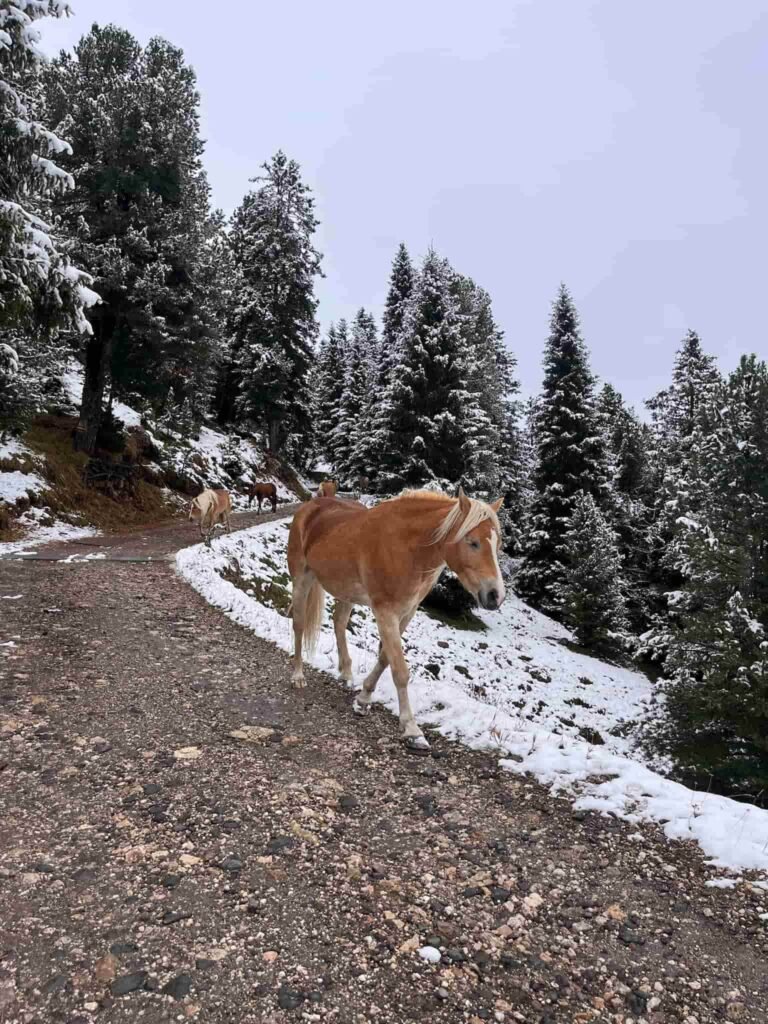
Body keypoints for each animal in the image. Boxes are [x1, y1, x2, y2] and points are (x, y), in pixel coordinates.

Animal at [286, 487, 505, 753]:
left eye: (497, 544)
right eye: (472, 542)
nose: (495, 596)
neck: (405, 546)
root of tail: (311, 506)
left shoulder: (406, 613)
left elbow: (384, 658)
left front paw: (363, 698)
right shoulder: (385, 613)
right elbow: (400, 669)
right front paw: (412, 730)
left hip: (345, 592)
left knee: (338, 623)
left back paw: (346, 674)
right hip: (302, 579)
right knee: (299, 625)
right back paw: (298, 676)